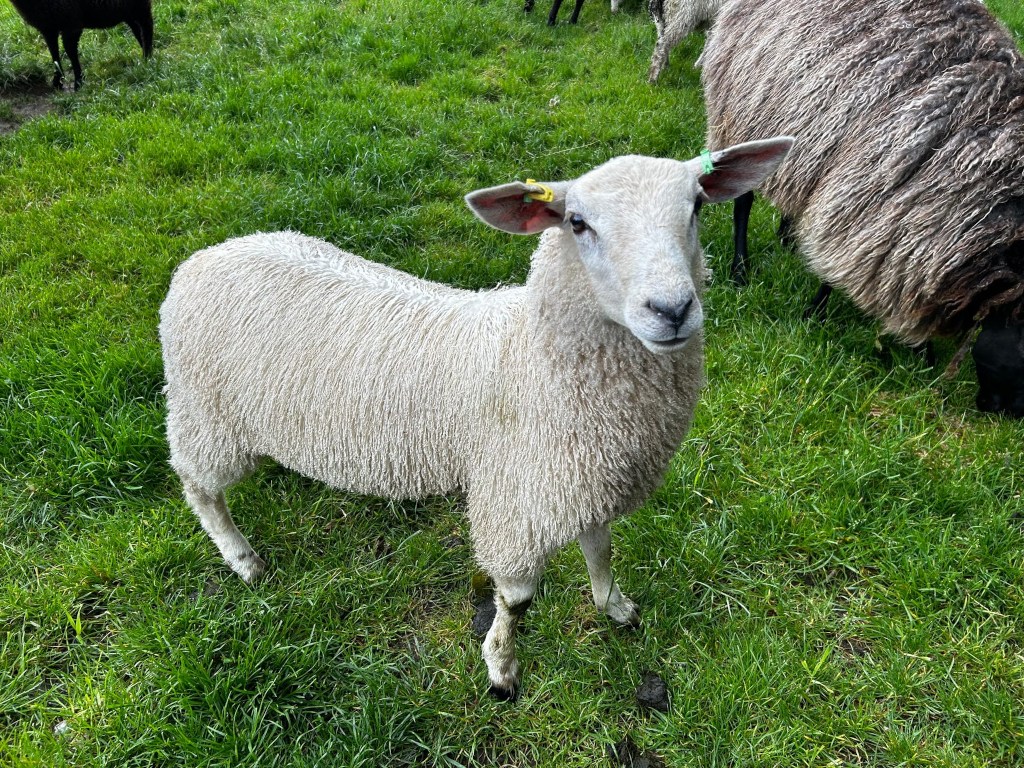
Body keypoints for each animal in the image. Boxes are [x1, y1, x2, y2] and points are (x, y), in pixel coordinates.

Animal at [8, 0, 153, 89]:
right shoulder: (48, 28)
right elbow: (54, 54)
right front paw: (57, 81)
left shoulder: (71, 23)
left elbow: (71, 53)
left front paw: (78, 83)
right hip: (125, 9)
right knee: (138, 29)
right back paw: (146, 55)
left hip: (139, 5)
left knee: (147, 26)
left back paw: (147, 58)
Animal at [158, 139, 794, 698]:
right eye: (577, 223)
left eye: (696, 206)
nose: (672, 309)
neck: (531, 353)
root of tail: (203, 259)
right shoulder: (518, 497)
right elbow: (517, 600)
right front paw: (501, 668)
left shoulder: (585, 476)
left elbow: (601, 549)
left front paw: (614, 606)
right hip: (207, 413)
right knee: (197, 485)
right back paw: (242, 559)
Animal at [701, 0, 1024, 415]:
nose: (1007, 412)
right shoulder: (866, 201)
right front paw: (816, 315)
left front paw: (922, 354)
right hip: (743, 117)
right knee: (743, 202)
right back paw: (740, 270)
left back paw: (787, 235)